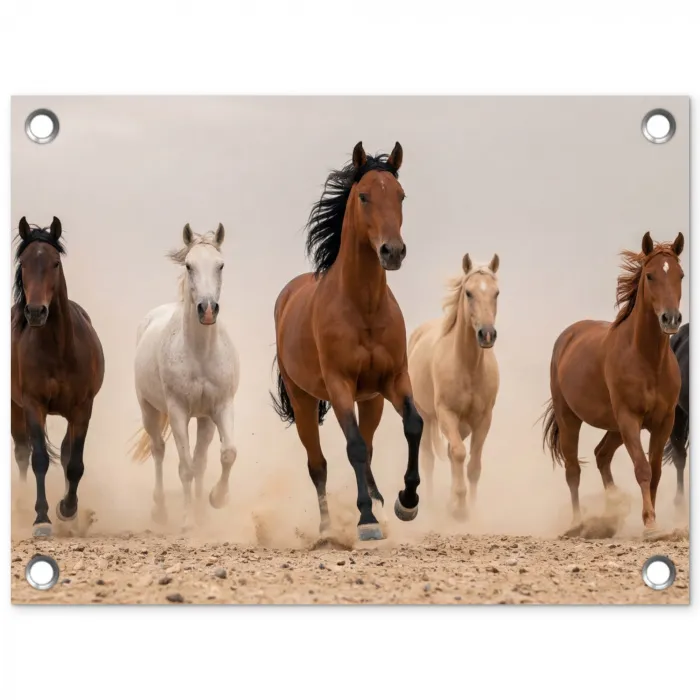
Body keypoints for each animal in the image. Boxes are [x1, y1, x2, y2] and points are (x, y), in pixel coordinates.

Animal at [11, 216, 105, 537]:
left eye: (54, 263)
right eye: (24, 262)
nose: (36, 312)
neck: (57, 349)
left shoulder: (83, 408)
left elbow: (74, 462)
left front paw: (68, 509)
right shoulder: (32, 404)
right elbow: (39, 458)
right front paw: (41, 519)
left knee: (64, 452)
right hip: (15, 408)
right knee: (22, 451)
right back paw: (21, 504)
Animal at [130, 224, 239, 529]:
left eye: (220, 265)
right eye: (189, 266)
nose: (208, 309)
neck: (200, 353)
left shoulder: (219, 408)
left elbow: (225, 454)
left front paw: (215, 501)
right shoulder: (178, 411)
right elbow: (186, 467)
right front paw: (188, 521)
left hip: (202, 419)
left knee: (200, 460)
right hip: (149, 410)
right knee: (158, 450)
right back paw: (160, 511)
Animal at [271, 141, 423, 542]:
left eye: (401, 195)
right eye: (365, 196)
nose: (392, 251)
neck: (364, 307)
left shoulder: (394, 380)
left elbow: (413, 425)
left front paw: (407, 501)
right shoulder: (339, 386)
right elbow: (351, 446)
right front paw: (365, 520)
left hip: (371, 400)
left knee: (368, 447)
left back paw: (381, 500)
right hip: (304, 401)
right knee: (318, 464)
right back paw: (327, 528)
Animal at [407, 253, 500, 520]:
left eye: (496, 293)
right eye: (468, 293)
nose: (487, 334)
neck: (467, 367)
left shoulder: (483, 420)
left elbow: (473, 465)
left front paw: (470, 507)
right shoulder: (446, 414)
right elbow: (458, 454)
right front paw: (459, 508)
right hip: (427, 418)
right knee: (428, 459)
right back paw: (429, 503)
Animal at [542, 232, 684, 536]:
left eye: (680, 274)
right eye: (651, 275)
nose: (671, 319)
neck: (647, 359)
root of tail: (568, 336)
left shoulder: (663, 422)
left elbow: (655, 471)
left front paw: (652, 520)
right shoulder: (630, 418)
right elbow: (642, 468)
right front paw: (650, 524)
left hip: (615, 427)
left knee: (601, 455)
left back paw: (611, 510)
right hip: (571, 418)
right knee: (573, 470)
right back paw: (577, 523)